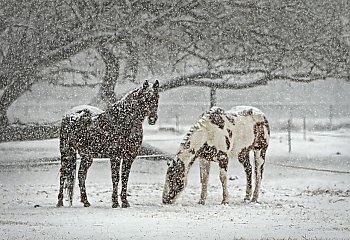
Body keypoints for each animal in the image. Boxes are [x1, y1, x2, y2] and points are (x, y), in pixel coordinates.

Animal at [57, 80, 160, 208]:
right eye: (145, 98)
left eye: (157, 97)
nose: (153, 119)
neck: (123, 121)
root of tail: (69, 115)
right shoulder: (115, 156)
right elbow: (115, 178)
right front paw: (115, 202)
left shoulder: (129, 157)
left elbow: (125, 178)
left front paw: (125, 202)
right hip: (66, 152)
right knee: (63, 174)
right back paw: (60, 202)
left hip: (87, 156)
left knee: (81, 175)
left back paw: (86, 201)